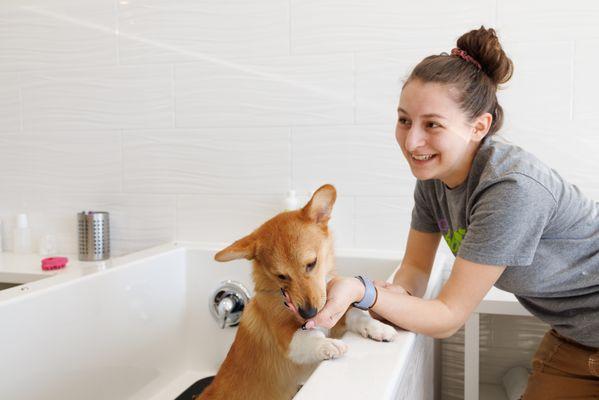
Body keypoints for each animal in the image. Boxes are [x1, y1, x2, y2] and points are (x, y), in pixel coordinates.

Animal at [198, 184, 398, 400]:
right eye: (281, 276)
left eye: (311, 263)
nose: (308, 313)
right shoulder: (288, 339)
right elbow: (310, 338)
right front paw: (328, 345)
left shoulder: (333, 316)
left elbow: (355, 314)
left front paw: (379, 328)